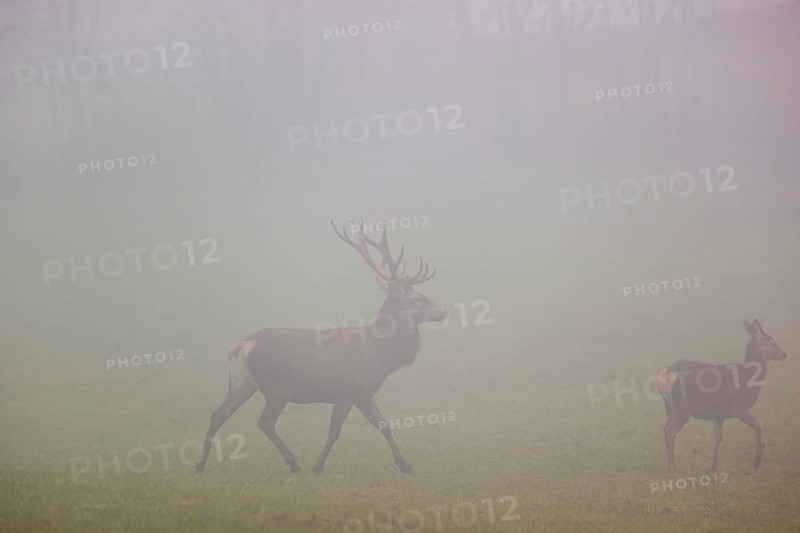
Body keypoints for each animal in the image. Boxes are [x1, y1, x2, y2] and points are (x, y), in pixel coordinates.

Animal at [195, 219, 448, 475]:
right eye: (417, 299)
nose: (443, 311)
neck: (381, 356)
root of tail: (245, 344)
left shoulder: (365, 394)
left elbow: (384, 425)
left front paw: (406, 465)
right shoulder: (346, 392)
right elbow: (334, 430)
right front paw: (317, 466)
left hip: (241, 384)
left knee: (218, 414)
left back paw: (200, 464)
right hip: (277, 388)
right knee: (264, 422)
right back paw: (293, 462)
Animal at [657, 319, 788, 472]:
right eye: (772, 342)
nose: (784, 354)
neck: (749, 379)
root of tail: (665, 375)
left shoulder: (719, 414)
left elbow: (718, 437)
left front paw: (713, 466)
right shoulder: (739, 407)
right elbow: (757, 426)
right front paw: (756, 461)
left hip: (669, 407)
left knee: (665, 429)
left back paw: (669, 465)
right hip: (683, 407)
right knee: (670, 430)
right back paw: (673, 467)